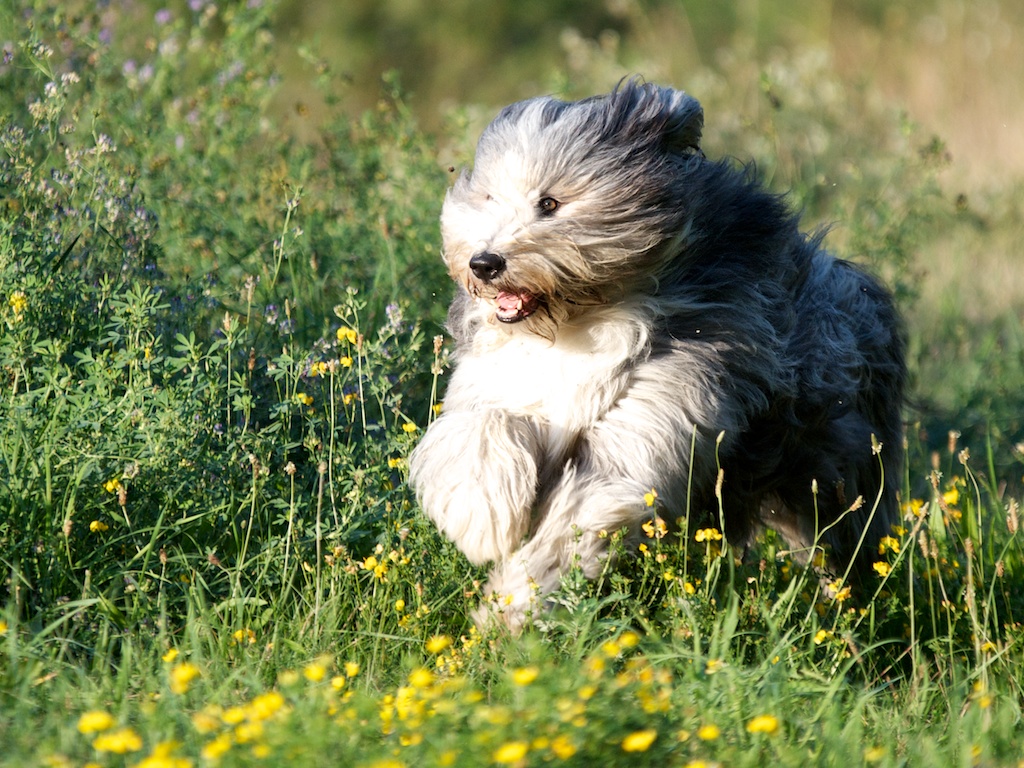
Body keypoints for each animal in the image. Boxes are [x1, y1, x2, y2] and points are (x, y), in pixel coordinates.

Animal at [407, 79, 905, 630]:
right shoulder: (505, 382)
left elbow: (582, 511)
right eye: (490, 198)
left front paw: (511, 611)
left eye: (550, 202)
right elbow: (480, 427)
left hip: (836, 478)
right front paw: (481, 516)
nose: (484, 263)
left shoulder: (657, 410)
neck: (579, 322)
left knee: (843, 547)